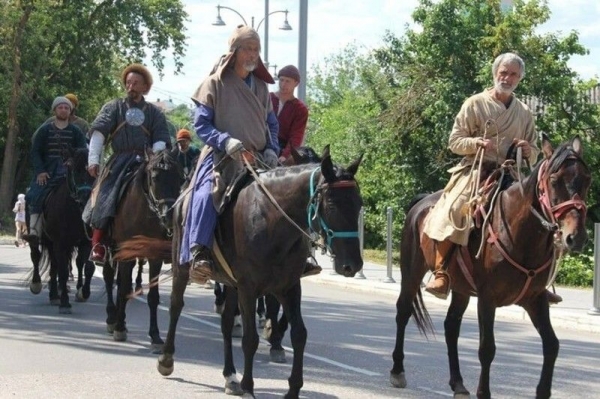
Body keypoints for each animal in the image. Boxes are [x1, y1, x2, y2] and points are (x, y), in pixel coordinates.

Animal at [27, 147, 96, 316]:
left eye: (93, 172)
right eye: (74, 169)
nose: (86, 198)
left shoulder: (85, 242)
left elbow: (88, 267)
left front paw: (83, 293)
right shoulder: (61, 243)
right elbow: (63, 272)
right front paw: (65, 303)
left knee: (54, 266)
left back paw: (54, 295)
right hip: (43, 240)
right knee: (36, 256)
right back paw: (37, 285)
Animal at [101, 148, 183, 352]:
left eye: (180, 177)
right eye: (154, 177)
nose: (169, 216)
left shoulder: (154, 257)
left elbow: (153, 296)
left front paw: (155, 335)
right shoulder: (126, 254)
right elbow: (122, 288)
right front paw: (119, 328)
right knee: (109, 277)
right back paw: (112, 317)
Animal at [115, 145, 364, 398]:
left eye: (359, 203)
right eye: (331, 205)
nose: (352, 265)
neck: (271, 220)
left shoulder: (289, 287)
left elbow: (299, 334)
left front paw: (292, 388)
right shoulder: (249, 288)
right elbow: (250, 339)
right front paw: (249, 387)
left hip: (231, 283)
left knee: (226, 323)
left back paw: (230, 376)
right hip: (181, 266)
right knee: (176, 306)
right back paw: (166, 357)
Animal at [390, 135, 592, 399]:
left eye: (587, 179)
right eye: (554, 180)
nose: (575, 237)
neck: (519, 233)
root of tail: (420, 204)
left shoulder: (535, 299)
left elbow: (552, 344)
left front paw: (542, 391)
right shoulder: (487, 299)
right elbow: (487, 348)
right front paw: (483, 392)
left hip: (461, 289)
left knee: (451, 326)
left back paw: (458, 383)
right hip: (412, 272)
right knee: (403, 311)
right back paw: (397, 371)